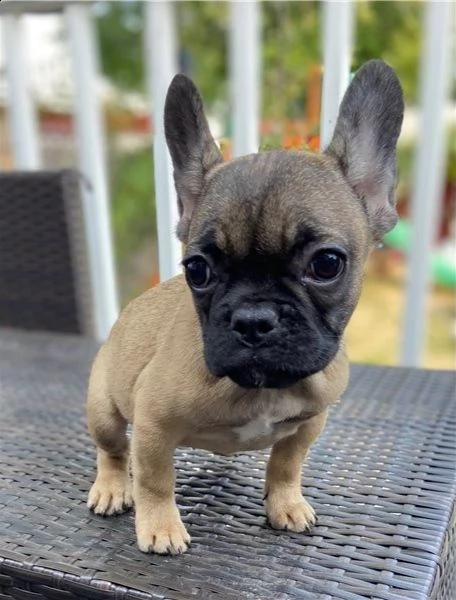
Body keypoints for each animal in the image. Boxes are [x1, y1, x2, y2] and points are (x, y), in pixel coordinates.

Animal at [85, 59, 402, 552]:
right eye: (196, 270)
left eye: (327, 264)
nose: (253, 320)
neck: (263, 386)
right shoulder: (153, 424)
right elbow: (156, 479)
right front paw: (160, 526)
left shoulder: (311, 421)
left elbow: (287, 464)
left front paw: (285, 503)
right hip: (103, 406)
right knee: (114, 449)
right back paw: (112, 487)